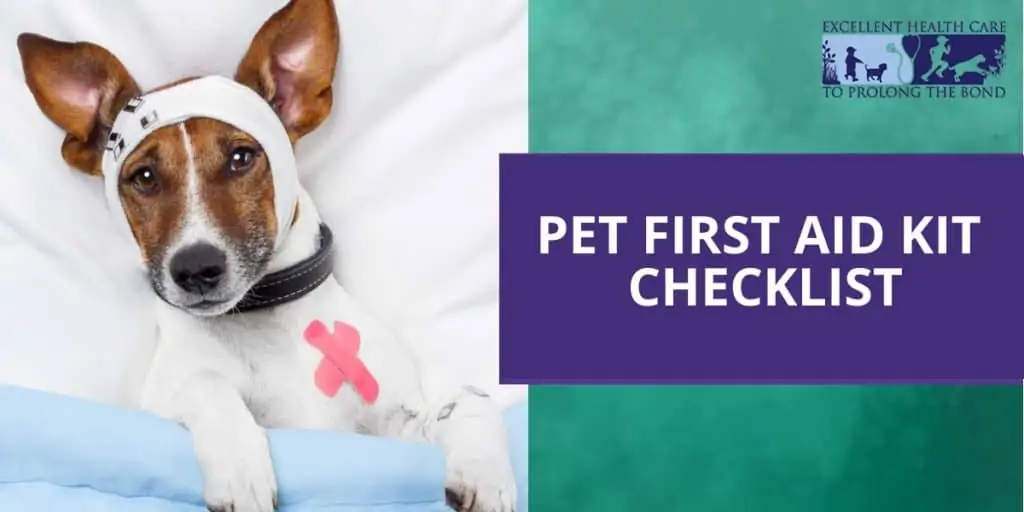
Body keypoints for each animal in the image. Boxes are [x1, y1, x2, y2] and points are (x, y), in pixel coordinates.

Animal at [22, 1, 520, 512]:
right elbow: (207, 383)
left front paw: (484, 473)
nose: (195, 268)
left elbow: (471, 399)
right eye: (143, 177)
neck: (266, 320)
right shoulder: (163, 398)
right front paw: (241, 470)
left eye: (242, 158)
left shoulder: (395, 430)